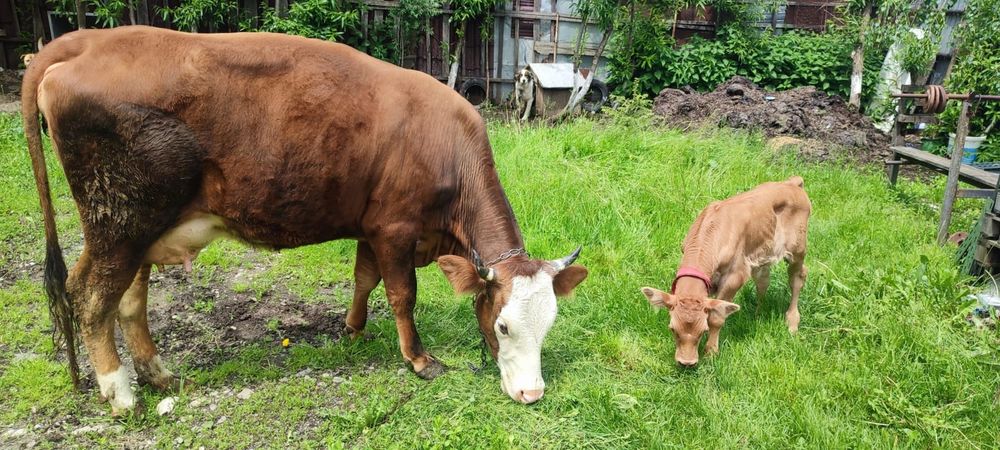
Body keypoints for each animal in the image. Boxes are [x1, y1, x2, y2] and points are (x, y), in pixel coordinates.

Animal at [23, 26, 588, 414]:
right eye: (503, 325)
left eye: (550, 324)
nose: (531, 392)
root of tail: (87, 41)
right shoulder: (396, 229)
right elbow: (401, 294)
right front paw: (419, 359)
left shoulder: (371, 226)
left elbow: (364, 279)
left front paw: (352, 329)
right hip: (117, 225)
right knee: (90, 297)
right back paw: (121, 394)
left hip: (141, 229)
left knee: (129, 302)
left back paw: (159, 376)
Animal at [641, 176, 810, 367]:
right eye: (672, 329)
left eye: (703, 330)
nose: (686, 362)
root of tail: (792, 183)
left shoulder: (736, 276)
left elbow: (717, 317)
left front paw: (711, 352)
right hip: (762, 254)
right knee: (763, 280)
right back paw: (757, 314)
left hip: (798, 248)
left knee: (797, 277)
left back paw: (792, 322)